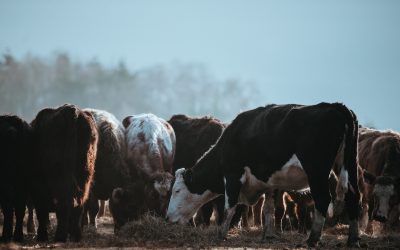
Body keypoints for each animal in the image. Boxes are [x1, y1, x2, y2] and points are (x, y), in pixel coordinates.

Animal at [30, 104, 97, 242]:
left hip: (59, 176)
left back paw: (60, 236)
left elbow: (41, 211)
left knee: (64, 203)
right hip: (85, 175)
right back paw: (75, 235)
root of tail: (72, 110)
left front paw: (42, 235)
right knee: (79, 203)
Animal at [166, 102, 360, 247]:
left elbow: (230, 206)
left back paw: (312, 239)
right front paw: (268, 234)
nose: (167, 217)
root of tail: (335, 106)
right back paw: (353, 239)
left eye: (177, 191)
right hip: (348, 165)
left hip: (317, 170)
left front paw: (220, 233)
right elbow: (269, 208)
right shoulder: (269, 182)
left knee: (323, 200)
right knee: (353, 196)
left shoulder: (233, 175)